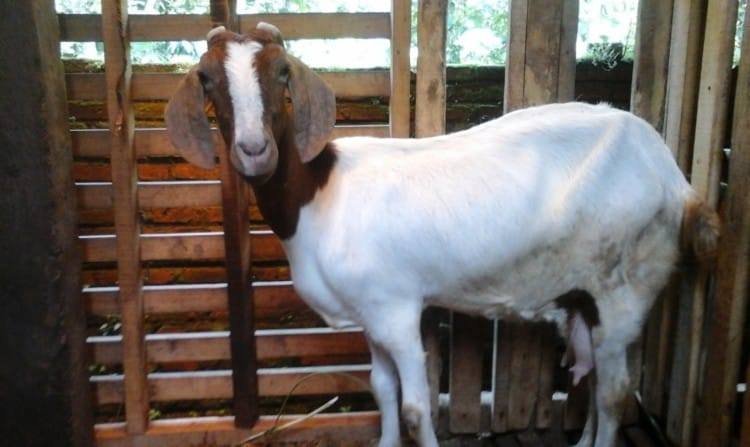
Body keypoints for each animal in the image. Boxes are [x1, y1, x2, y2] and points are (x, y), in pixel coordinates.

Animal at [166, 24, 724, 447]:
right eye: (207, 79)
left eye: (282, 72)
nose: (254, 150)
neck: (319, 195)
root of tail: (676, 179)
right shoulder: (370, 313)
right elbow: (382, 390)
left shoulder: (397, 310)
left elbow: (416, 407)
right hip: (587, 296)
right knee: (597, 383)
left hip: (626, 286)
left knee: (614, 392)